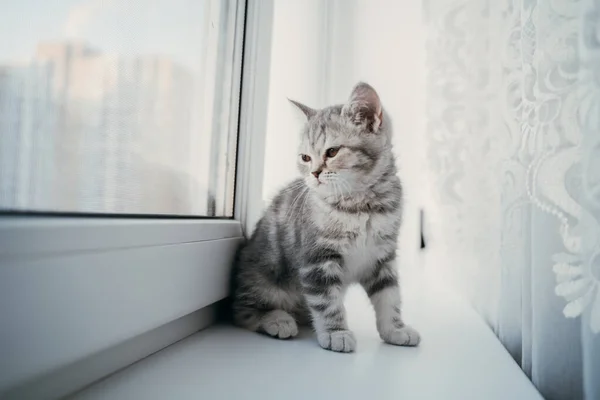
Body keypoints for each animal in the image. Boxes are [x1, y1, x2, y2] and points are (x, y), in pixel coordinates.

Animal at [232, 83, 420, 352]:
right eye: (305, 157)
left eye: (332, 152)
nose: (314, 173)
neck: (361, 205)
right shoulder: (317, 259)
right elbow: (327, 301)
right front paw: (336, 332)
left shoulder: (382, 255)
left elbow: (389, 296)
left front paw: (395, 329)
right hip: (263, 275)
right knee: (241, 310)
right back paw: (278, 320)